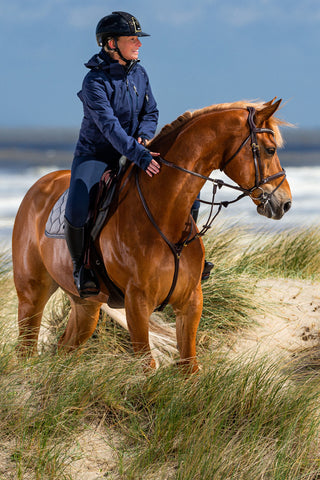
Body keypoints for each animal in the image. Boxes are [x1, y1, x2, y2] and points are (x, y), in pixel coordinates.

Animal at [12, 98, 292, 372]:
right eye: (270, 150)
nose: (285, 203)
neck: (164, 217)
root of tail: (39, 185)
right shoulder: (137, 303)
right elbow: (146, 365)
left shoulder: (191, 302)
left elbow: (189, 366)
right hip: (31, 295)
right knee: (26, 350)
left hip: (86, 306)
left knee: (64, 350)